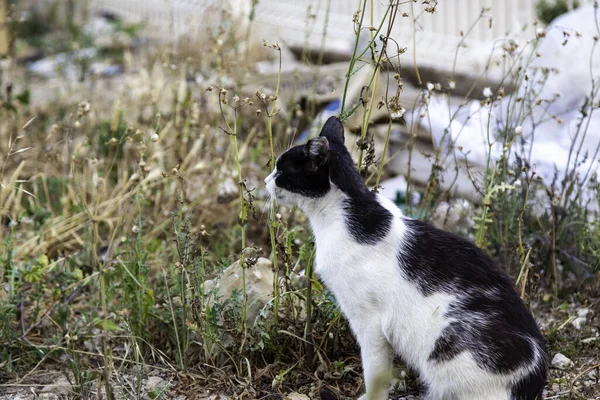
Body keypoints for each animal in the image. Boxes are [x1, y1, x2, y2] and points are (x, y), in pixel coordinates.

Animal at [266, 116, 548, 400]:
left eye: (281, 171)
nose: (267, 180)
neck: (346, 216)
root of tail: (533, 380)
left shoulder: (368, 320)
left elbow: (375, 369)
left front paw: (372, 396)